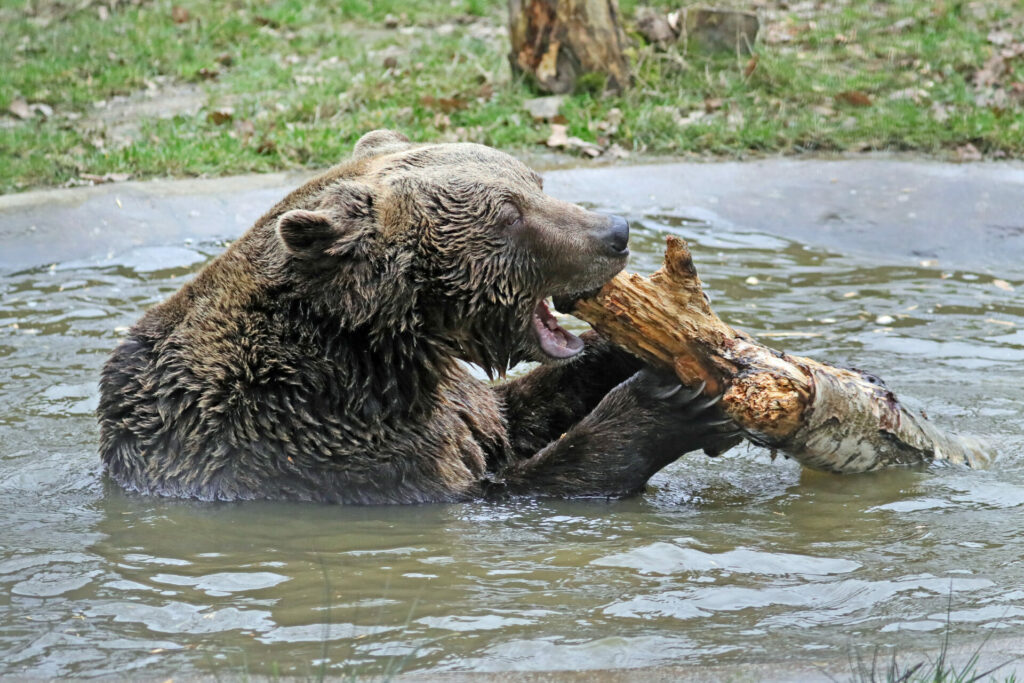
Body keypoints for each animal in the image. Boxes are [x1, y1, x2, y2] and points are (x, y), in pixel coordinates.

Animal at [96, 131, 737, 505]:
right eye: (509, 213)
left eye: (536, 182)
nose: (615, 232)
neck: (385, 348)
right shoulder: (317, 440)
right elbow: (506, 486)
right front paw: (668, 410)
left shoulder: (449, 401)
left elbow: (507, 415)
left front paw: (653, 351)